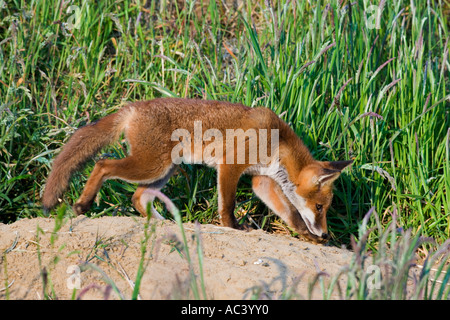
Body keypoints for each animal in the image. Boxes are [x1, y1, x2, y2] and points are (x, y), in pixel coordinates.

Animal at [42, 97, 352, 242]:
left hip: (163, 172)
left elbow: (291, 214)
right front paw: (232, 227)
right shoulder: (230, 165)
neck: (277, 143)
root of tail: (134, 106)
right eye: (321, 207)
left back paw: (163, 223)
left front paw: (308, 237)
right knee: (102, 164)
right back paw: (83, 204)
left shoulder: (261, 180)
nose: (326, 234)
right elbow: (227, 205)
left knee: (137, 197)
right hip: (151, 166)